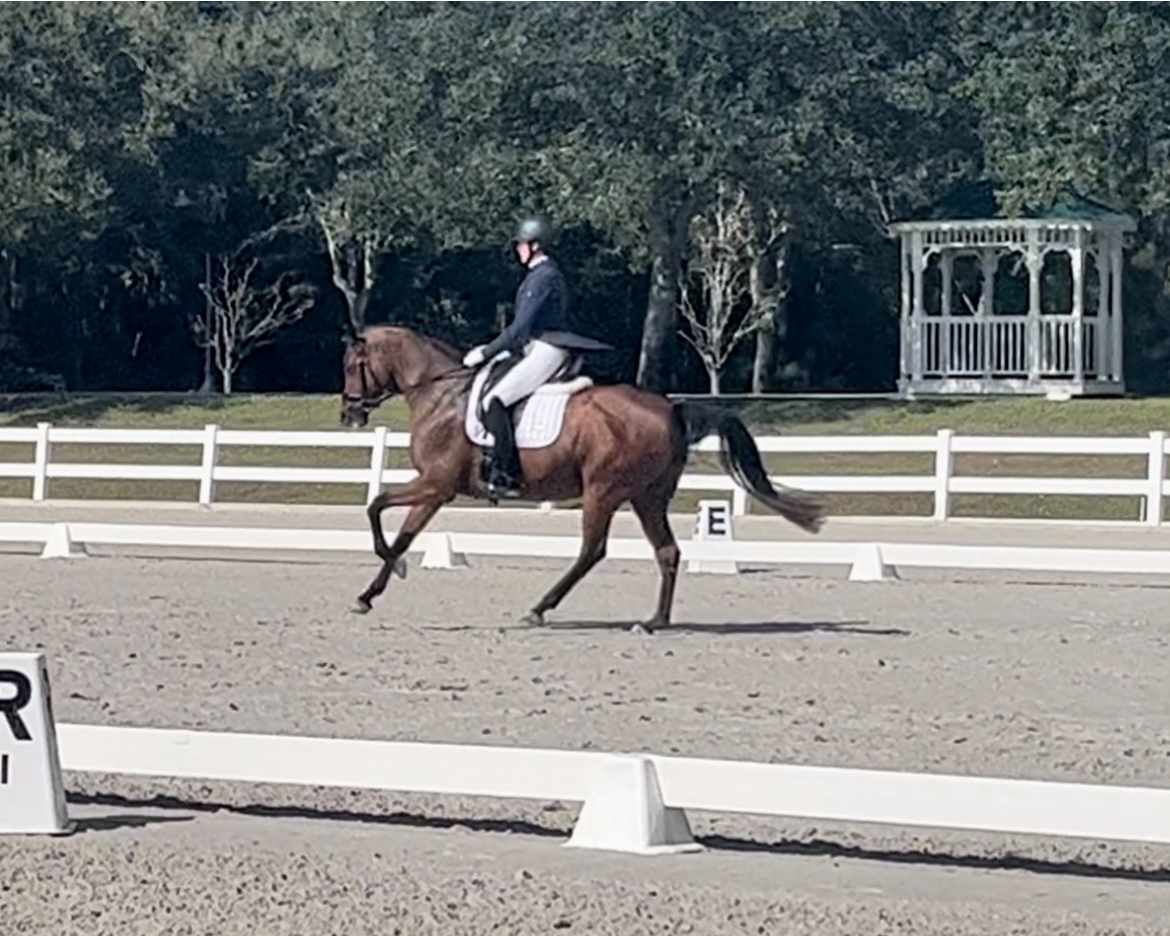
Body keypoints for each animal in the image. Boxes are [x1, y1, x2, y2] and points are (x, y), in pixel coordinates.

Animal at [340, 325, 825, 632]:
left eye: (350, 365)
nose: (349, 415)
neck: (442, 394)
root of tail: (669, 408)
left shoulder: (436, 484)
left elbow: (375, 506)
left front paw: (393, 568)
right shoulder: (436, 490)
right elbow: (402, 533)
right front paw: (370, 592)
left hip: (602, 492)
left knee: (592, 550)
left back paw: (539, 610)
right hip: (648, 497)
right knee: (667, 551)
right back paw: (654, 621)